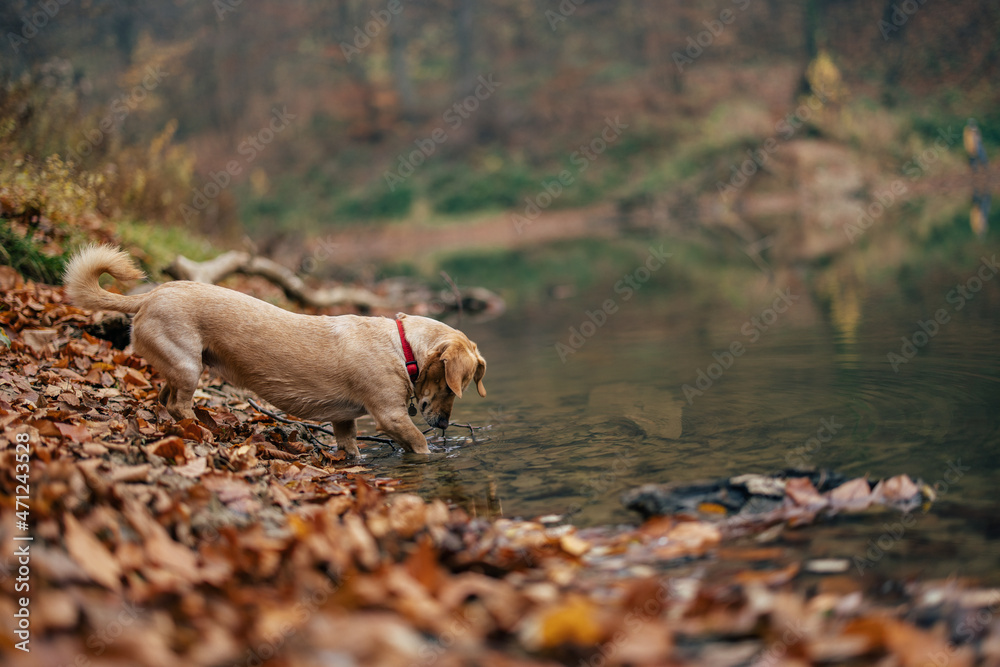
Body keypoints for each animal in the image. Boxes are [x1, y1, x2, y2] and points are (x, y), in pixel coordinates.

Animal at [61, 248, 484, 456]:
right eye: (452, 387)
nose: (444, 425)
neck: (402, 346)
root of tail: (148, 296)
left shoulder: (343, 421)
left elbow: (350, 449)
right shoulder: (390, 417)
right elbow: (420, 446)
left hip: (178, 366)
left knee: (164, 399)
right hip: (188, 366)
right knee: (179, 404)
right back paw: (204, 430)